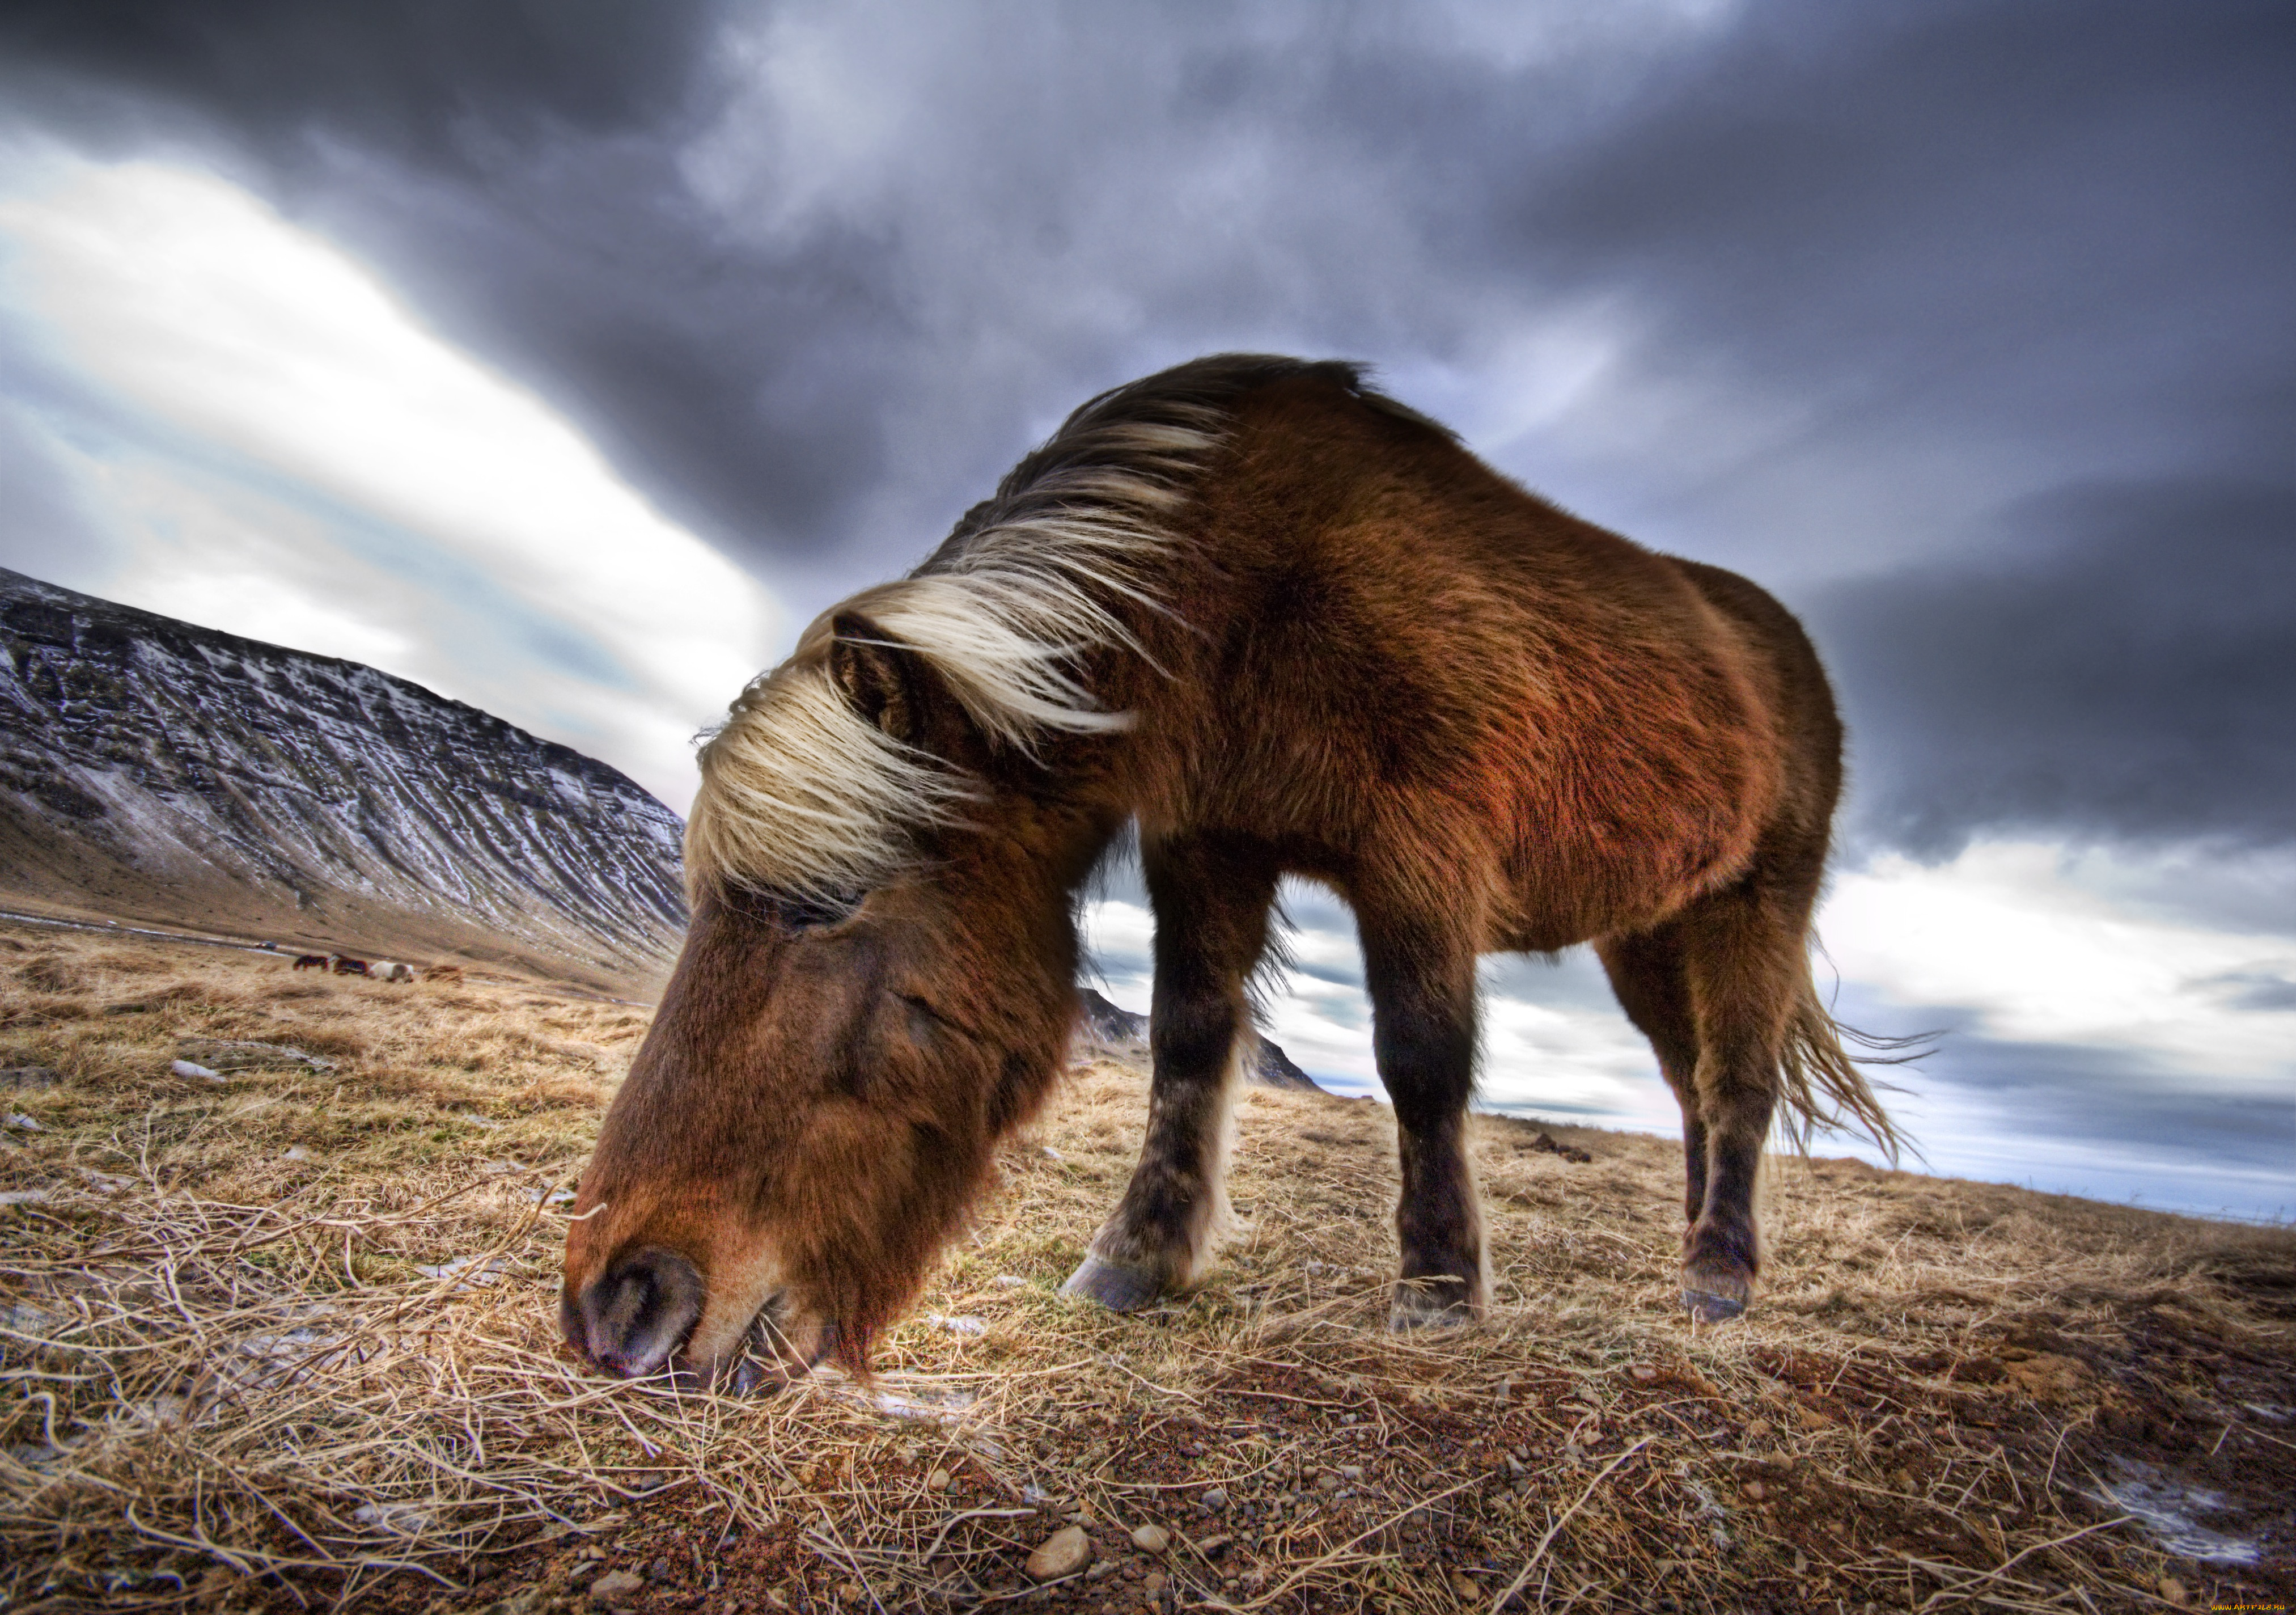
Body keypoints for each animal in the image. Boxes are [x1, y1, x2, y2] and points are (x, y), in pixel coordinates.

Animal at [560, 354, 1897, 1389]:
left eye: (827, 907)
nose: (617, 1303)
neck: (1248, 590)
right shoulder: (1208, 844)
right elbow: (1190, 1041)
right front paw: (1135, 1259)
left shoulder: (1420, 859)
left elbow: (1419, 1061)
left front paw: (1437, 1286)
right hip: (1648, 932)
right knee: (1691, 1085)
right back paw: (1697, 1249)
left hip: (1754, 909)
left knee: (1735, 1080)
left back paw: (1719, 1275)